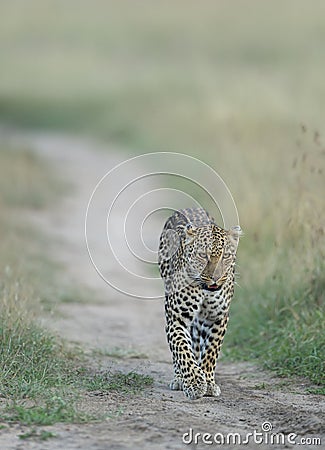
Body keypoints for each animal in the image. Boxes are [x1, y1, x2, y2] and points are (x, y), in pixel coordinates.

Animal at [157, 207, 240, 400]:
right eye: (203, 255)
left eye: (226, 256)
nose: (215, 278)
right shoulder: (177, 319)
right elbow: (182, 349)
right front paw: (194, 382)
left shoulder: (218, 318)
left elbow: (211, 351)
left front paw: (208, 382)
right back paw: (179, 379)